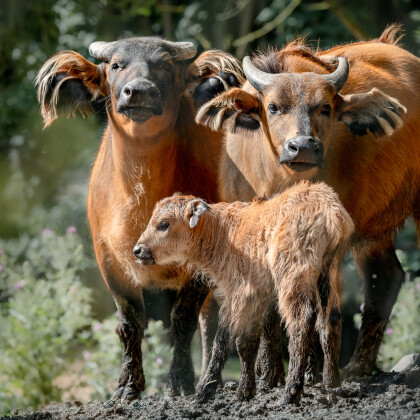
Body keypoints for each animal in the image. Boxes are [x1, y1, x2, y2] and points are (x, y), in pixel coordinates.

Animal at [36, 37, 243, 402]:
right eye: (116, 64)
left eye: (164, 65)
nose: (139, 91)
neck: (143, 197)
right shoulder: (108, 259)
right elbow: (130, 323)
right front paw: (128, 386)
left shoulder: (200, 264)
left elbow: (182, 320)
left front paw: (178, 382)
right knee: (211, 319)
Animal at [197, 25, 420, 400]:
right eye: (273, 107)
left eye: (325, 108)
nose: (302, 146)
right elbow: (269, 312)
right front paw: (269, 375)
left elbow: (317, 309)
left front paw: (308, 374)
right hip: (373, 231)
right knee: (385, 277)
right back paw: (357, 366)